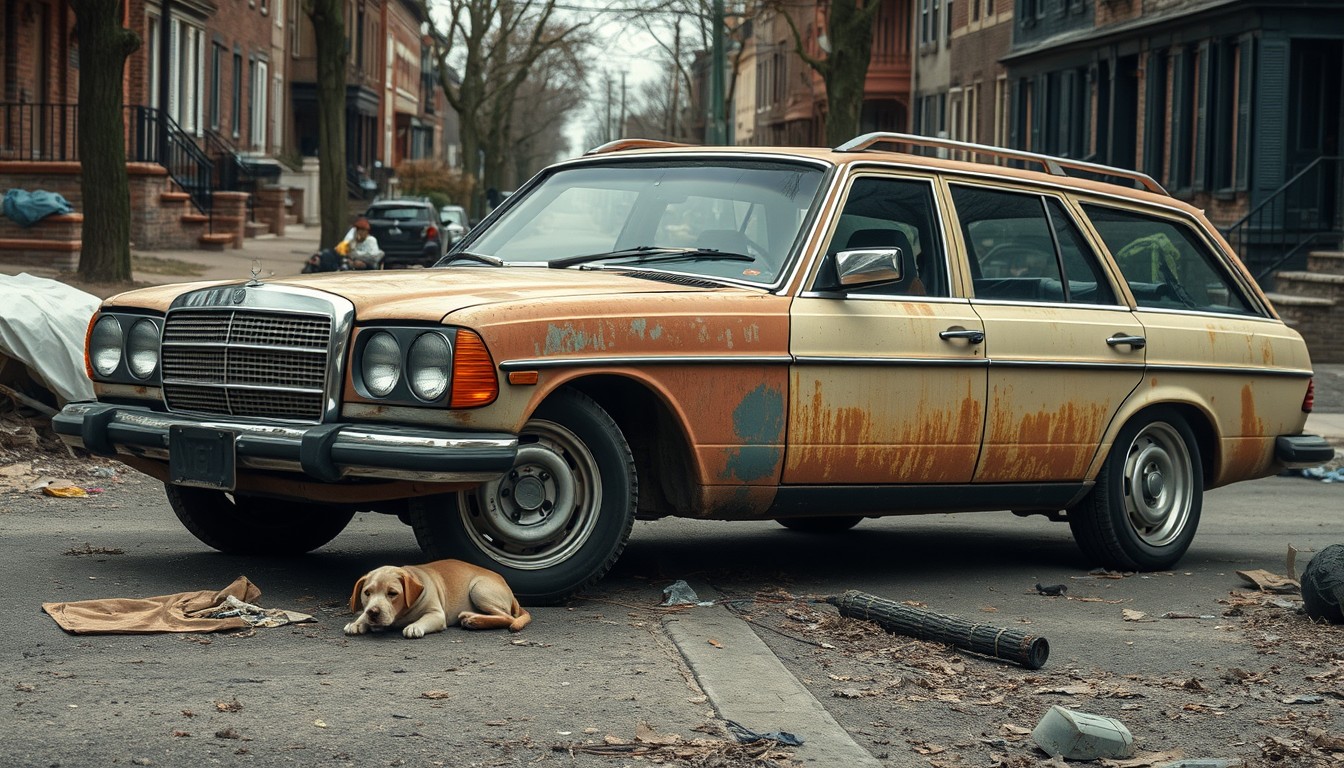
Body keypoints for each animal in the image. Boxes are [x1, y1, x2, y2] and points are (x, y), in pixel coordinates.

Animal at [344, 559, 526, 637]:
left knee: (508, 618)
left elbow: (424, 619)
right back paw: (469, 616)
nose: (373, 613)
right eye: (367, 593)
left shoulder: (436, 614)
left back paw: (474, 620)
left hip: (479, 589)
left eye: (392, 593)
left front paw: (414, 626)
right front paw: (358, 622)